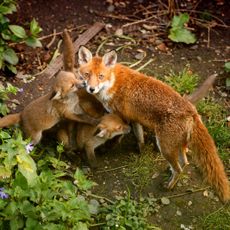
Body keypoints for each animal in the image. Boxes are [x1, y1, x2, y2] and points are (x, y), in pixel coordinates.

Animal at [77, 47, 228, 203]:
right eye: (87, 74)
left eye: (101, 76)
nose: (91, 89)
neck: (112, 82)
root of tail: (191, 110)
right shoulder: (134, 118)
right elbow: (139, 137)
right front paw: (140, 150)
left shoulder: (122, 116)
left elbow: (119, 137)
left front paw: (108, 148)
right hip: (176, 145)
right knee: (184, 162)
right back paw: (170, 171)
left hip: (165, 147)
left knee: (179, 168)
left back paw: (169, 186)